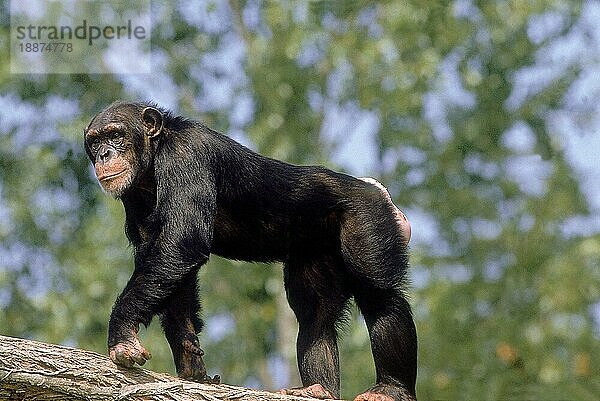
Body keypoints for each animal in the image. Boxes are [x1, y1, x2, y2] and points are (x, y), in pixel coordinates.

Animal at [83, 101, 418, 400]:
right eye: (94, 141)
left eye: (115, 134)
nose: (104, 154)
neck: (153, 159)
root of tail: (377, 191)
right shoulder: (134, 200)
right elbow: (170, 267)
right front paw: (191, 361)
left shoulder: (188, 156)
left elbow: (182, 241)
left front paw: (122, 333)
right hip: (316, 249)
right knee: (315, 314)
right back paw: (317, 389)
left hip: (367, 214)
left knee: (379, 295)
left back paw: (390, 389)